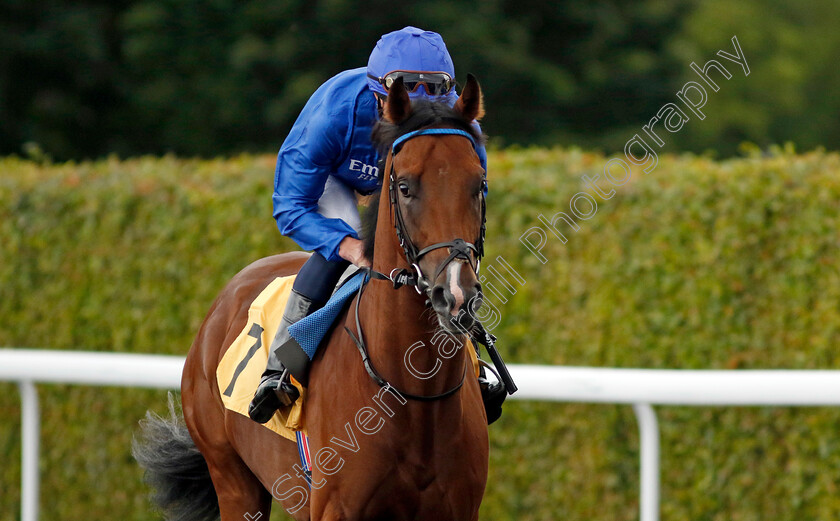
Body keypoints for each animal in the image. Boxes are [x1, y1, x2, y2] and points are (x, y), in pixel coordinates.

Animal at [134, 74, 488, 520]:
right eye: (405, 187)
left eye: (478, 184)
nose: (455, 293)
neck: (413, 393)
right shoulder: (334, 508)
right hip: (231, 478)